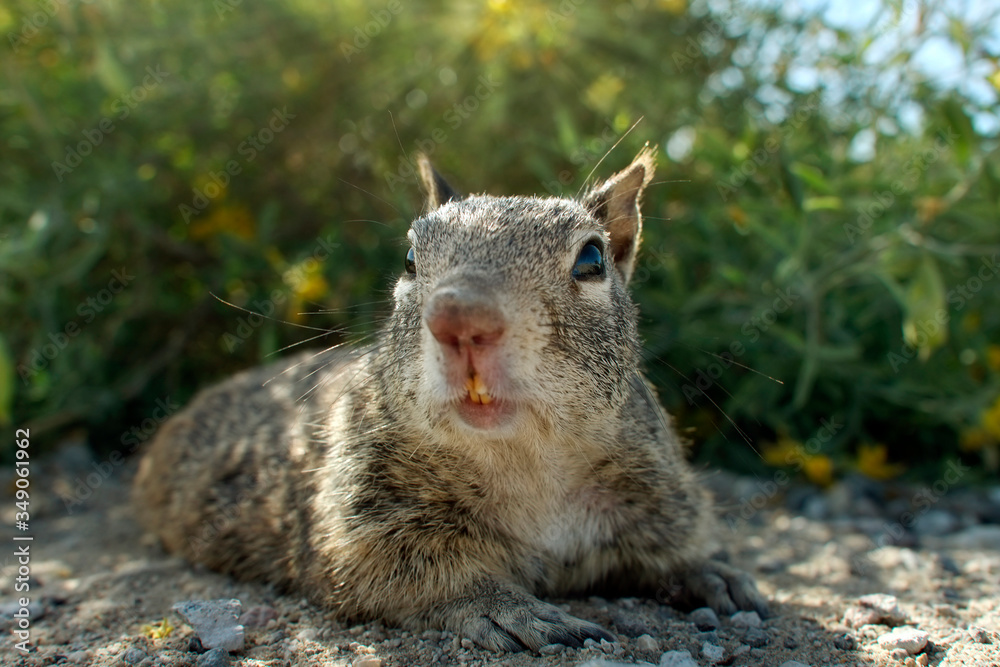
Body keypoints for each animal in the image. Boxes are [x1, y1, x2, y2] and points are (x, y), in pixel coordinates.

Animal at [133, 147, 769, 652]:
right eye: (410, 259)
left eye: (592, 259)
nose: (461, 318)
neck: (525, 461)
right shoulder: (356, 519)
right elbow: (407, 573)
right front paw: (504, 608)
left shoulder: (657, 491)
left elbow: (670, 549)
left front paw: (711, 573)